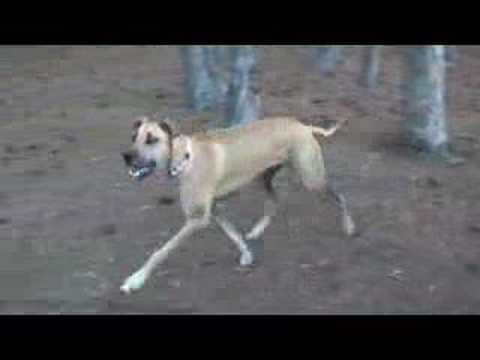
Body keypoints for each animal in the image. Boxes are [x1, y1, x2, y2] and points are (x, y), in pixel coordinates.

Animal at [118, 114, 354, 292]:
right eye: (134, 137)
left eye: (151, 139)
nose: (126, 156)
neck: (185, 158)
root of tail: (303, 126)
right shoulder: (214, 210)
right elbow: (233, 234)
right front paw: (247, 254)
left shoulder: (197, 219)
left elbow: (160, 251)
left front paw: (136, 279)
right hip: (262, 178)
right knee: (274, 201)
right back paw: (257, 230)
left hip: (312, 179)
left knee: (340, 196)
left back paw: (349, 226)